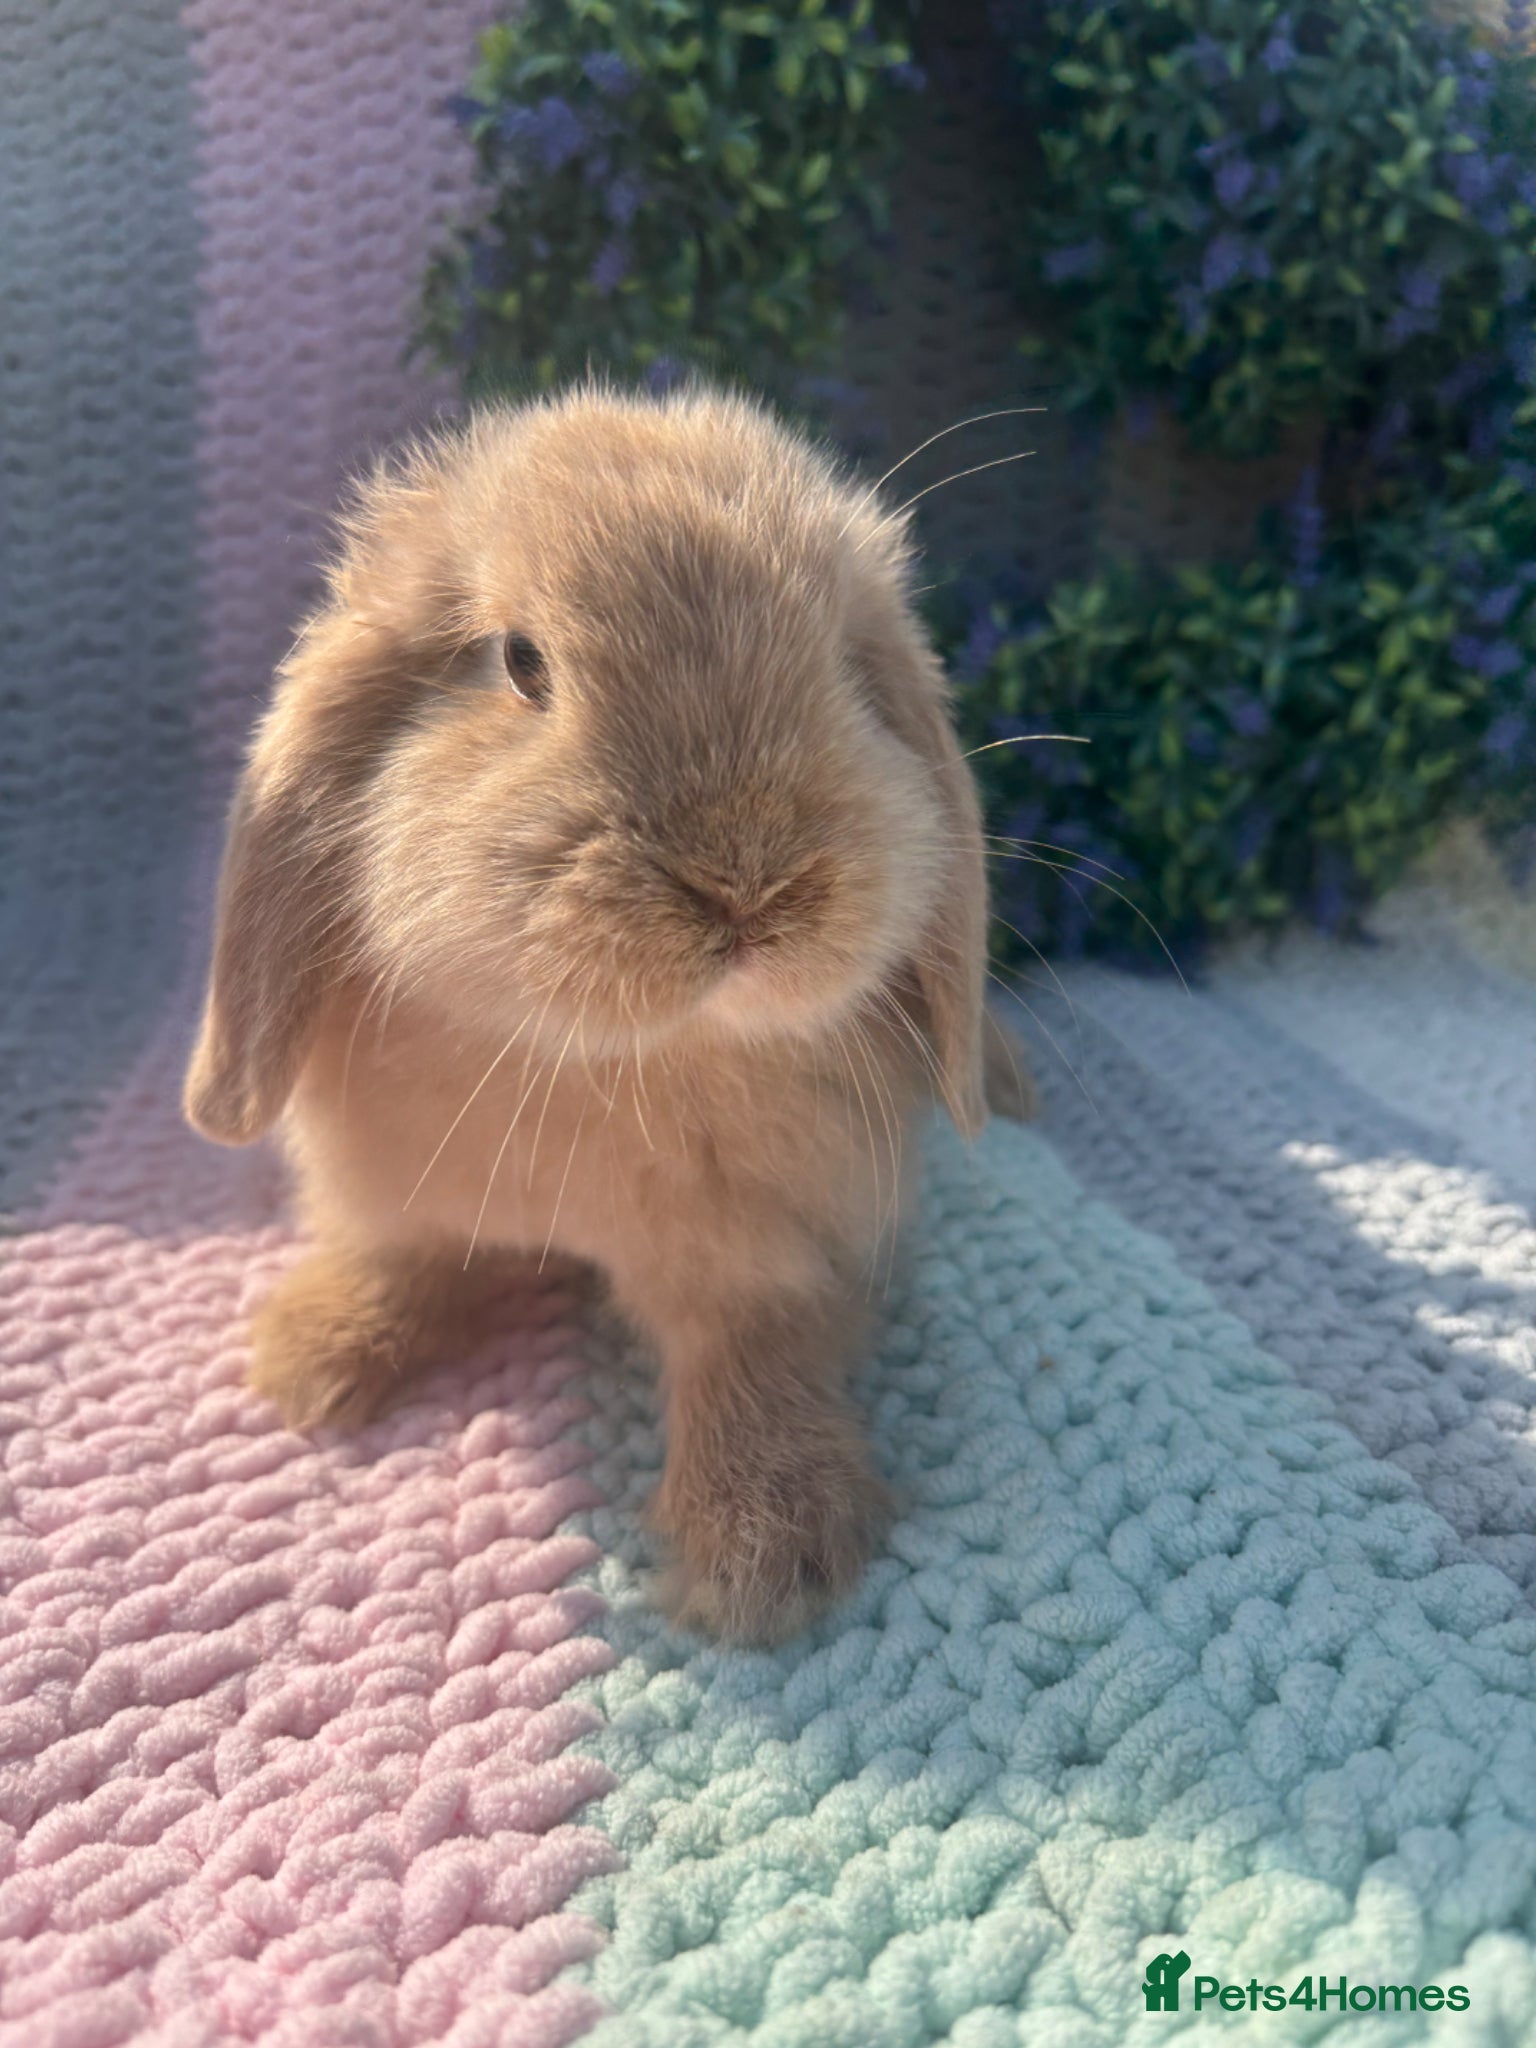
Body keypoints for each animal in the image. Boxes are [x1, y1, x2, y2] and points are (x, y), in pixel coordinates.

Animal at [184, 383, 1034, 1644]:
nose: (746, 881)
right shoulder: (389, 1191)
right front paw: (315, 1357)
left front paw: (767, 1551)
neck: (598, 1059)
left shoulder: (778, 1246)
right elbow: (398, 1255)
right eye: (521, 661)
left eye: (845, 666)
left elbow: (755, 1354)